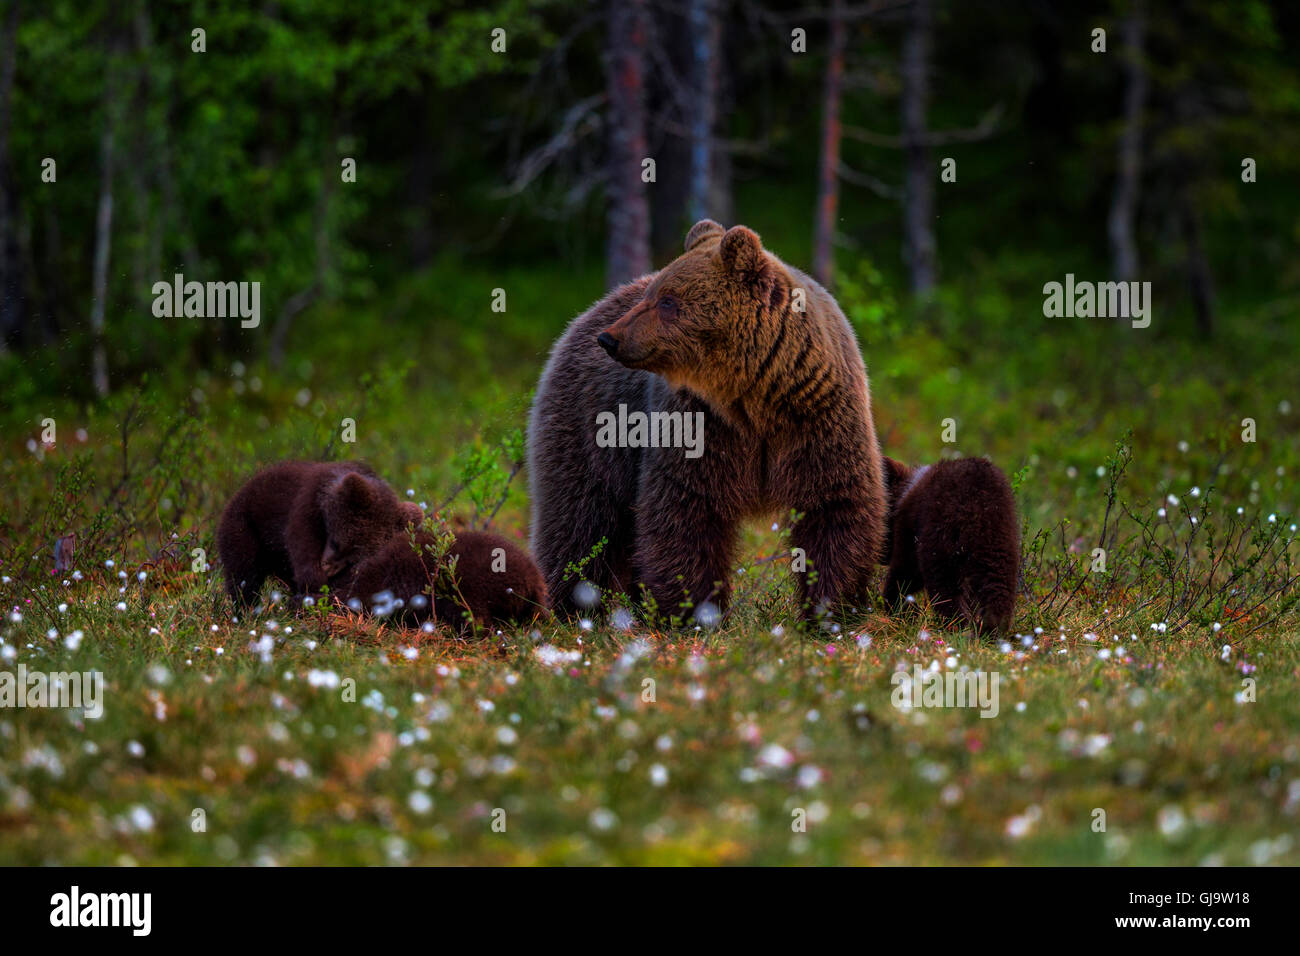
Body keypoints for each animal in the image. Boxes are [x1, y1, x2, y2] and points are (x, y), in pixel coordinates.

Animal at [216, 460, 423, 608]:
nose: (327, 567)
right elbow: (303, 550)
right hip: (245, 525)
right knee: (244, 573)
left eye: (352, 560)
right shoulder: (306, 508)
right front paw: (316, 583)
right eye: (336, 543)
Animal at [528, 219, 886, 624]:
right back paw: (573, 607)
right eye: (652, 295)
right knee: (580, 518)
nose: (610, 338)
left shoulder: (818, 415)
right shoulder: (700, 422)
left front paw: (832, 609)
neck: (757, 395)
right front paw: (695, 613)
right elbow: (688, 508)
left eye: (667, 300)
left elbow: (834, 502)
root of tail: (583, 317)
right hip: (589, 427)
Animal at [880, 455, 1020, 634]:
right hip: (1000, 545)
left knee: (946, 587)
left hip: (944, 538)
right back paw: (991, 628)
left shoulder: (911, 532)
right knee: (998, 586)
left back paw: (957, 627)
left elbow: (904, 572)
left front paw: (901, 609)